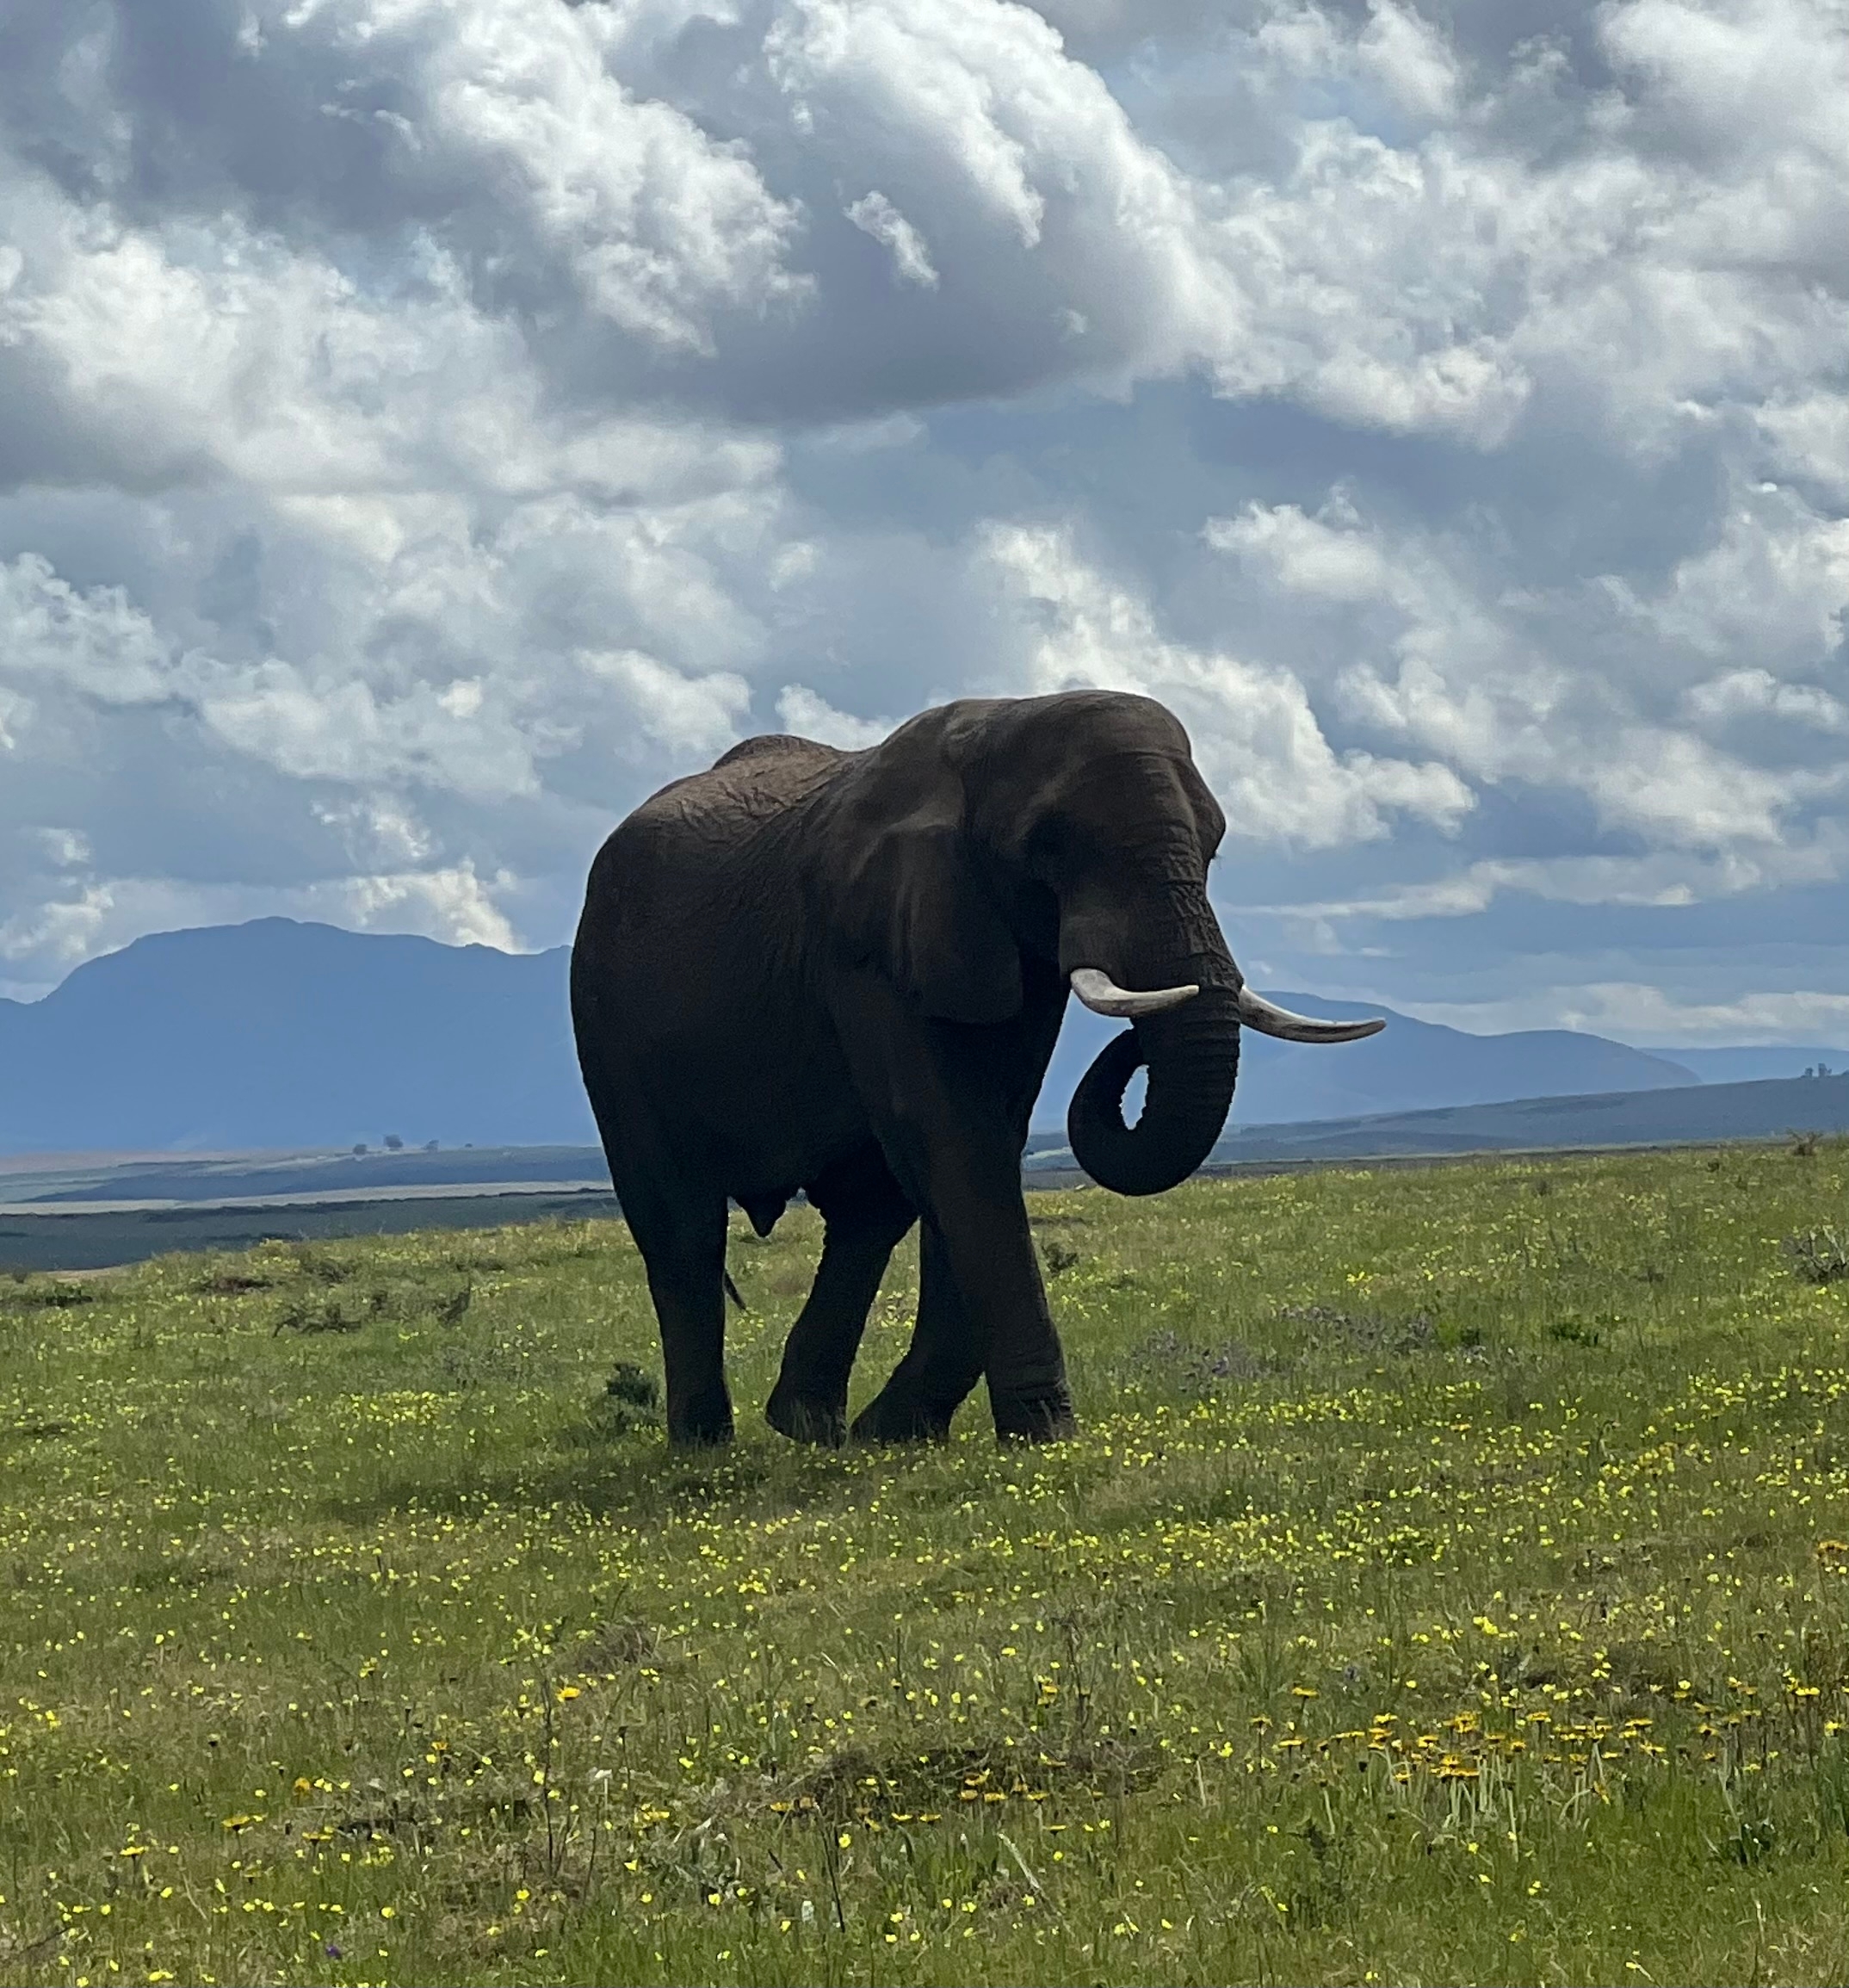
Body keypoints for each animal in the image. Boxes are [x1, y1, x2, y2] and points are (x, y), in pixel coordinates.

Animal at [570, 688, 1381, 1448]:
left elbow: (982, 1137)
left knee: (867, 1214)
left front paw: (901, 1432)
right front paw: (1044, 1434)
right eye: (1050, 845)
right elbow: (954, 1136)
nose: (1137, 1035)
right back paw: (707, 1444)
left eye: (1214, 846)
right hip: (605, 1018)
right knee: (682, 1229)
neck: (997, 726)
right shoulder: (868, 944)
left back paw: (813, 1427)